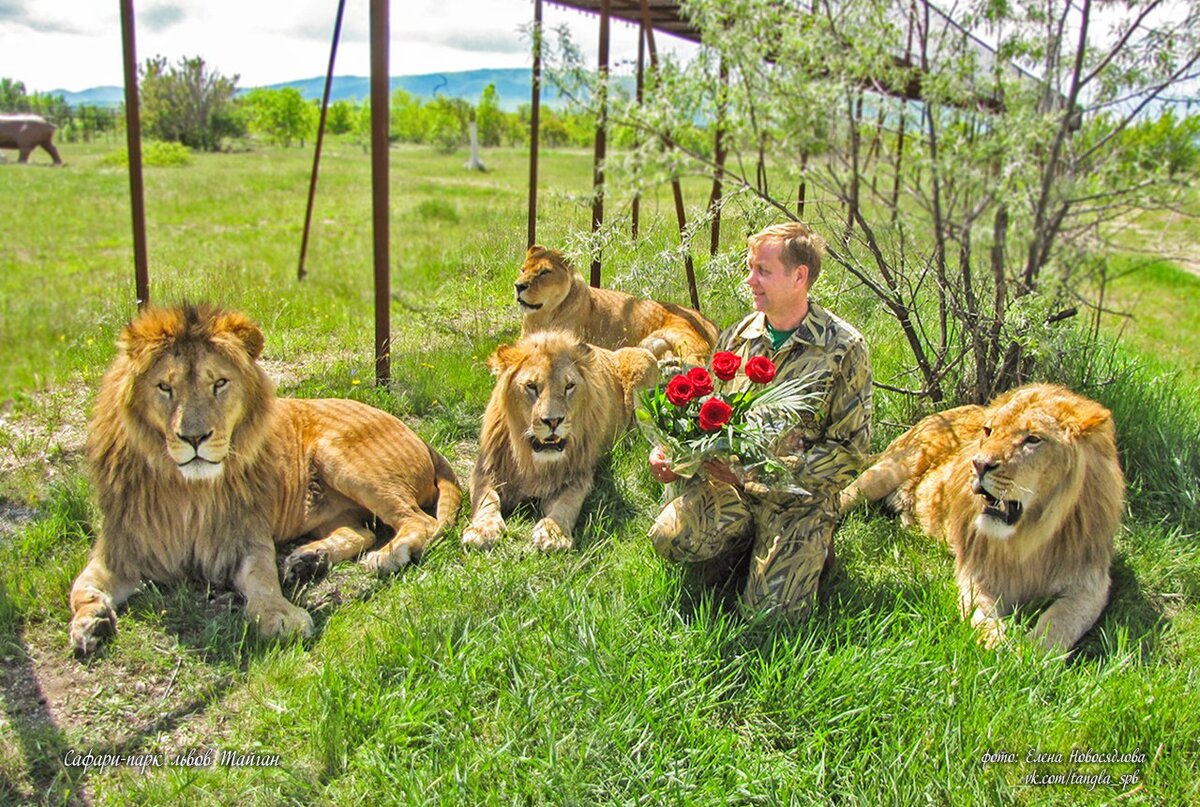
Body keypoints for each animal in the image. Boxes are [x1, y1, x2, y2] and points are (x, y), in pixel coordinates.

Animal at [66, 302, 458, 653]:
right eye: (165, 387)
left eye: (219, 384)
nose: (194, 438)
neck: (186, 489)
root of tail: (419, 437)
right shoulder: (120, 547)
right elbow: (80, 586)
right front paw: (90, 622)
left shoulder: (246, 537)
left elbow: (263, 580)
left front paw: (281, 617)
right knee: (359, 532)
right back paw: (308, 561)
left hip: (344, 458)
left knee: (417, 520)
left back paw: (387, 556)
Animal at [463, 331, 662, 552]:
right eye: (531, 386)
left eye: (569, 386)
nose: (553, 421)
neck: (533, 461)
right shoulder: (485, 468)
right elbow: (486, 498)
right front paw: (482, 530)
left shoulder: (577, 475)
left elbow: (566, 504)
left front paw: (553, 534)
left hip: (642, 361)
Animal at [518, 242, 720, 362]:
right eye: (523, 270)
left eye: (544, 272)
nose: (518, 286)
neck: (541, 315)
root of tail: (710, 321)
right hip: (653, 345)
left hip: (683, 338)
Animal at [840, 381, 1118, 653]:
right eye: (989, 431)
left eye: (1033, 439)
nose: (979, 465)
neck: (1030, 536)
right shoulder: (979, 572)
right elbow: (980, 616)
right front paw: (1000, 647)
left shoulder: (1090, 584)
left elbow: (1059, 622)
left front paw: (1030, 653)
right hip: (886, 471)